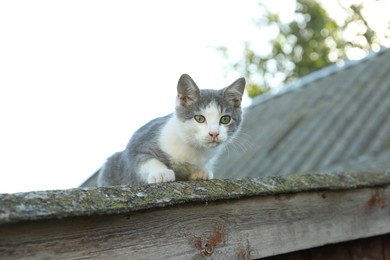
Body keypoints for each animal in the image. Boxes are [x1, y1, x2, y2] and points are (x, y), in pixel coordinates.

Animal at [97, 74, 245, 186]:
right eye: (199, 118)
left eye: (225, 119)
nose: (214, 133)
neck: (192, 146)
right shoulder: (137, 142)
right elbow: (143, 159)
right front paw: (161, 173)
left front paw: (201, 171)